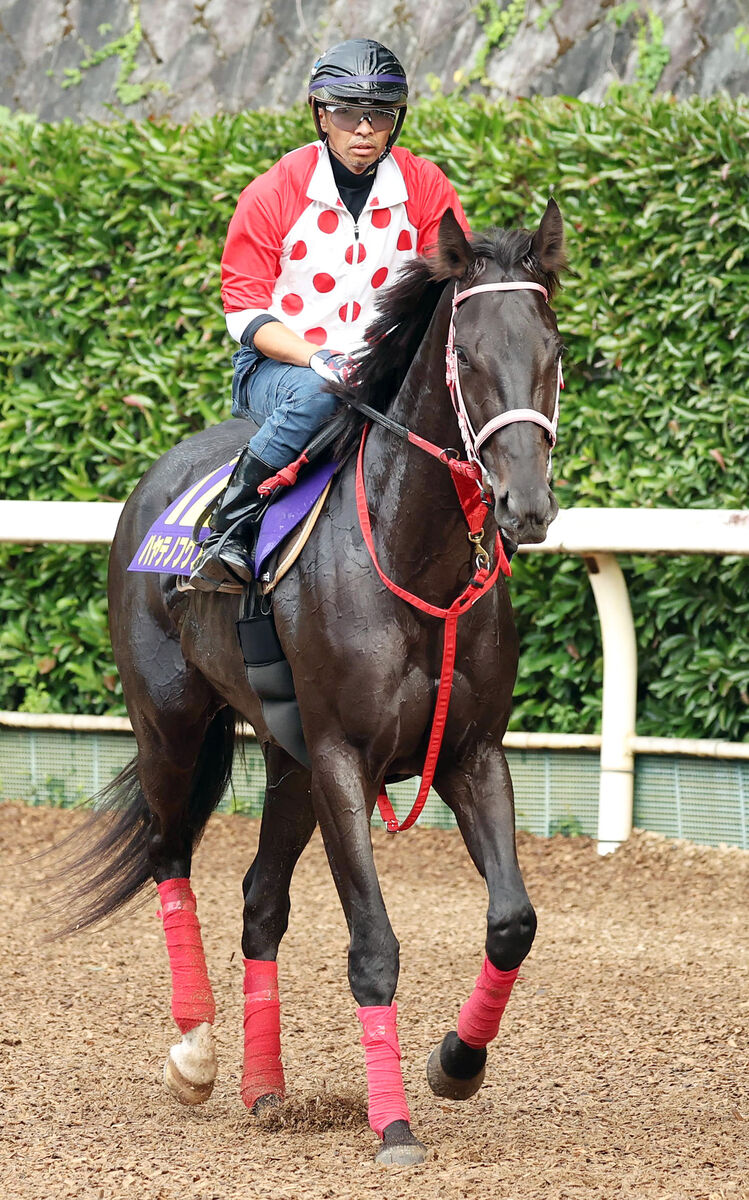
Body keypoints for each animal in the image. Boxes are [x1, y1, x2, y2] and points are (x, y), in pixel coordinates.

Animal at [64, 201, 564, 1166]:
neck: (413, 561)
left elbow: (512, 922)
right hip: (172, 726)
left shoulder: (471, 754)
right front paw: (393, 1125)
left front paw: (455, 1062)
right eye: (467, 358)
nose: (524, 507)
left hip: (287, 759)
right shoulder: (342, 759)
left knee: (260, 901)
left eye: (551, 350)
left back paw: (264, 1087)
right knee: (167, 855)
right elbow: (372, 946)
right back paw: (195, 1052)